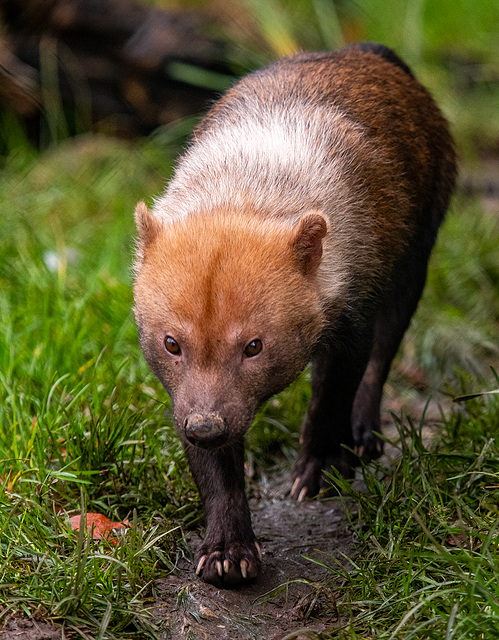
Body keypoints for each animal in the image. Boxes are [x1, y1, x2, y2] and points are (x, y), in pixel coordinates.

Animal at [133, 42, 458, 588]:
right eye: (172, 343)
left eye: (254, 346)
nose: (205, 427)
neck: (247, 188)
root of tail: (367, 50)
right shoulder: (190, 400)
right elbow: (216, 473)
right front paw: (228, 550)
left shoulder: (351, 320)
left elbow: (329, 401)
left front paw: (319, 471)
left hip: (414, 263)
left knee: (383, 357)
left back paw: (362, 437)